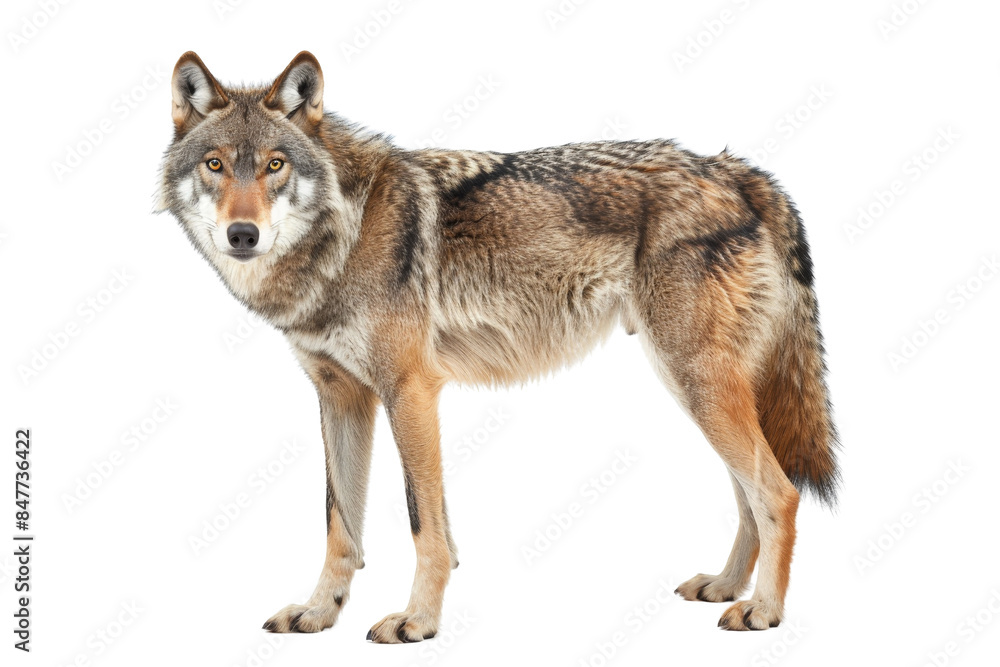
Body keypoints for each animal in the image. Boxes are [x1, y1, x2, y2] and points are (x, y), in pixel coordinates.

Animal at [155, 51, 839, 640]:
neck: (344, 232)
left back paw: (763, 611)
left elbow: (424, 525)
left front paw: (417, 622)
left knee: (779, 492)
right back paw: (726, 586)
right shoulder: (341, 397)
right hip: (697, 389)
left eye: (275, 165)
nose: (242, 235)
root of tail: (732, 167)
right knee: (749, 496)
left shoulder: (410, 391)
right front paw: (320, 613)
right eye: (215, 165)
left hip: (698, 384)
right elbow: (340, 525)